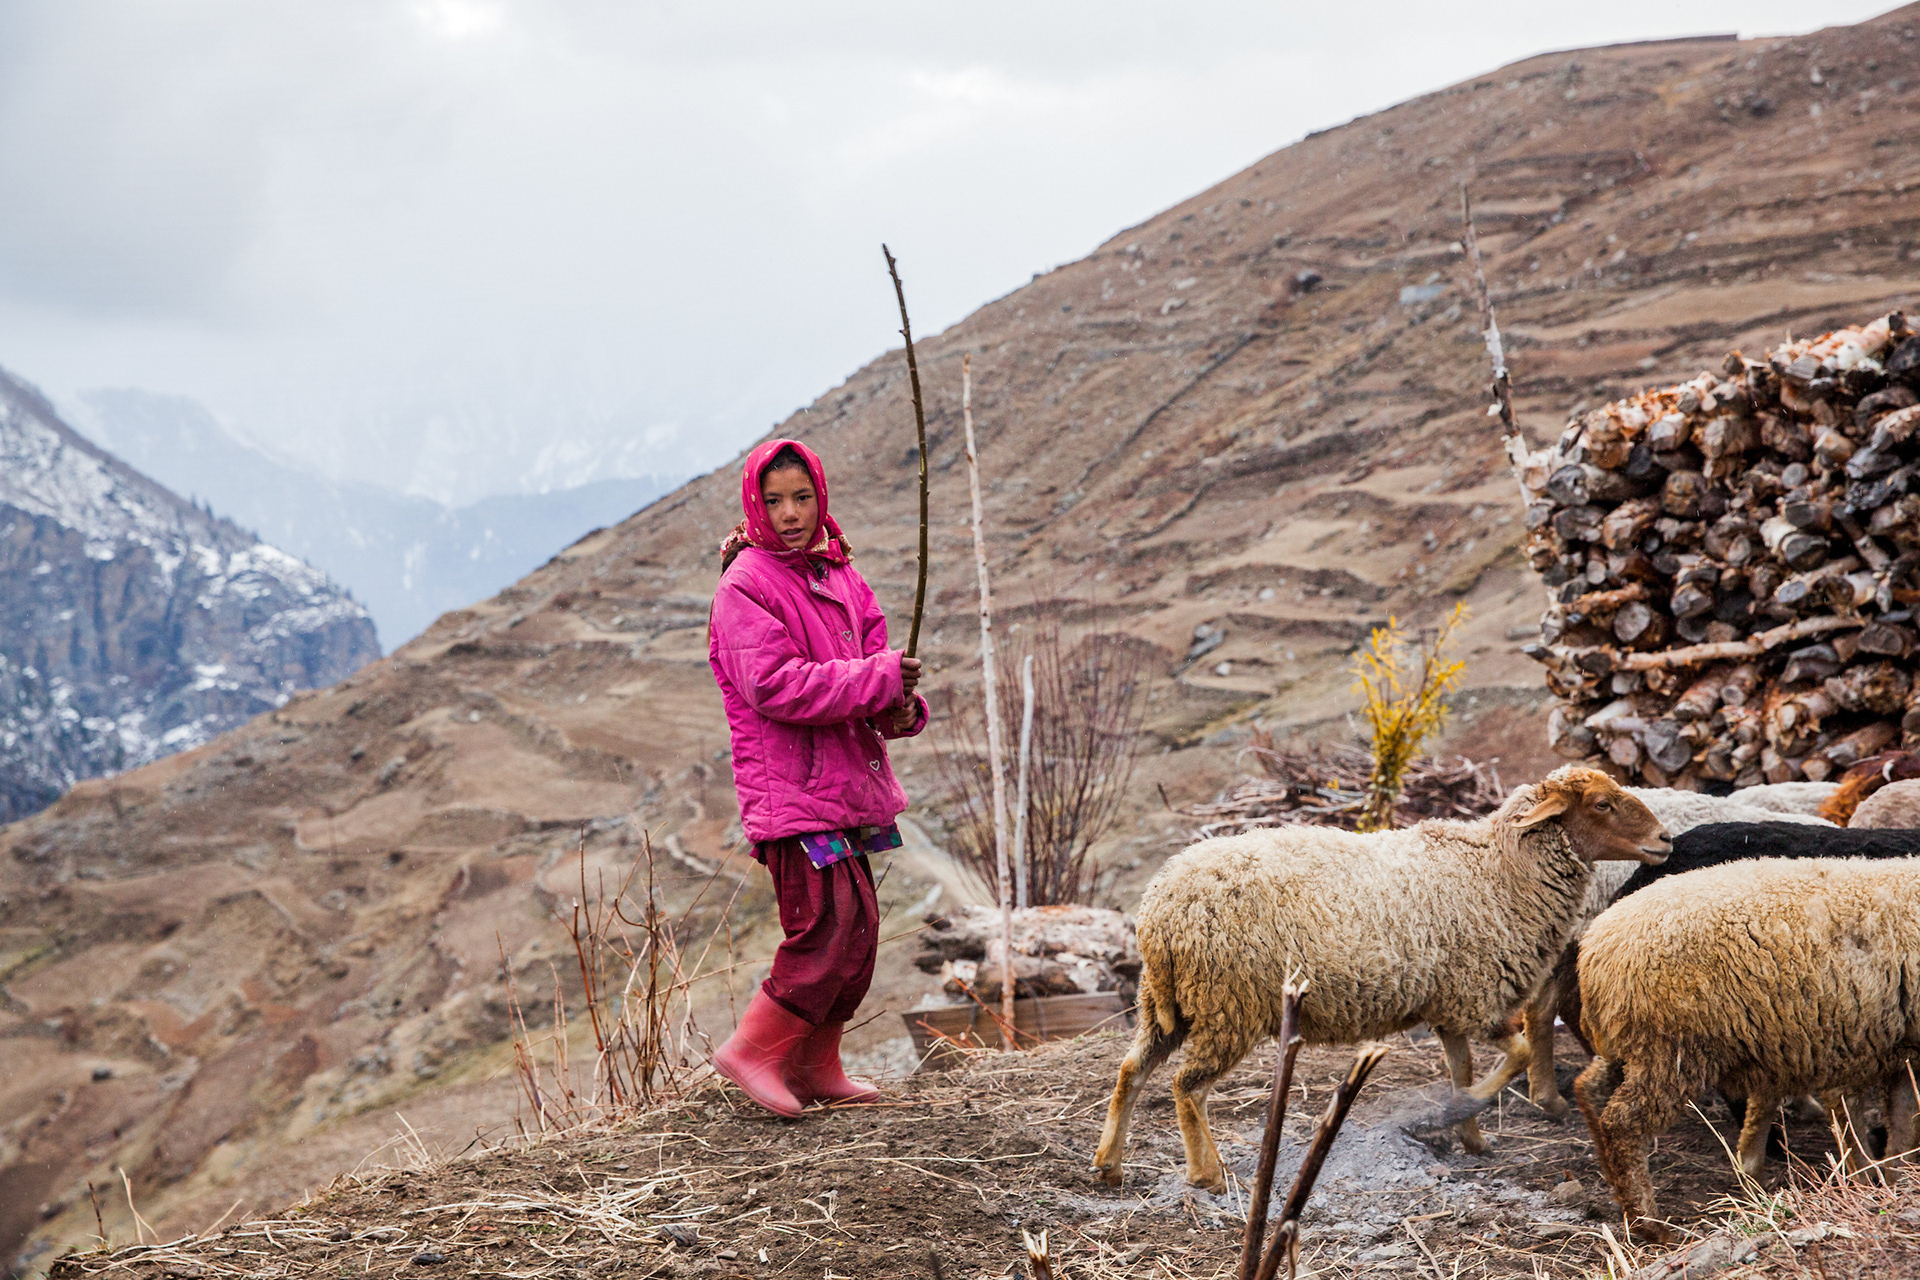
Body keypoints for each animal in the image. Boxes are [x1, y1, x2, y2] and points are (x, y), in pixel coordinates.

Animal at [1089, 765, 1669, 1192]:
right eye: (1602, 803)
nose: (1664, 839)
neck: (1498, 871)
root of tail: (1159, 911)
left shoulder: (1451, 1006)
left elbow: (1461, 1069)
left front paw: (1473, 1138)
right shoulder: (1475, 997)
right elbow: (1521, 1053)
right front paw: (1454, 1115)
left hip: (1167, 1004)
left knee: (1131, 1071)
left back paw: (1109, 1164)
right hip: (1228, 1003)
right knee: (1186, 1086)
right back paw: (1205, 1173)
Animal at [1573, 857, 1920, 1240]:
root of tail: (1595, 946)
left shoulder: (1899, 1053)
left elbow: (1904, 1127)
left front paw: (1897, 1180)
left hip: (1630, 1043)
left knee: (1590, 1091)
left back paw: (1618, 1192)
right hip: (1671, 1051)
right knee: (1622, 1124)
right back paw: (1651, 1225)